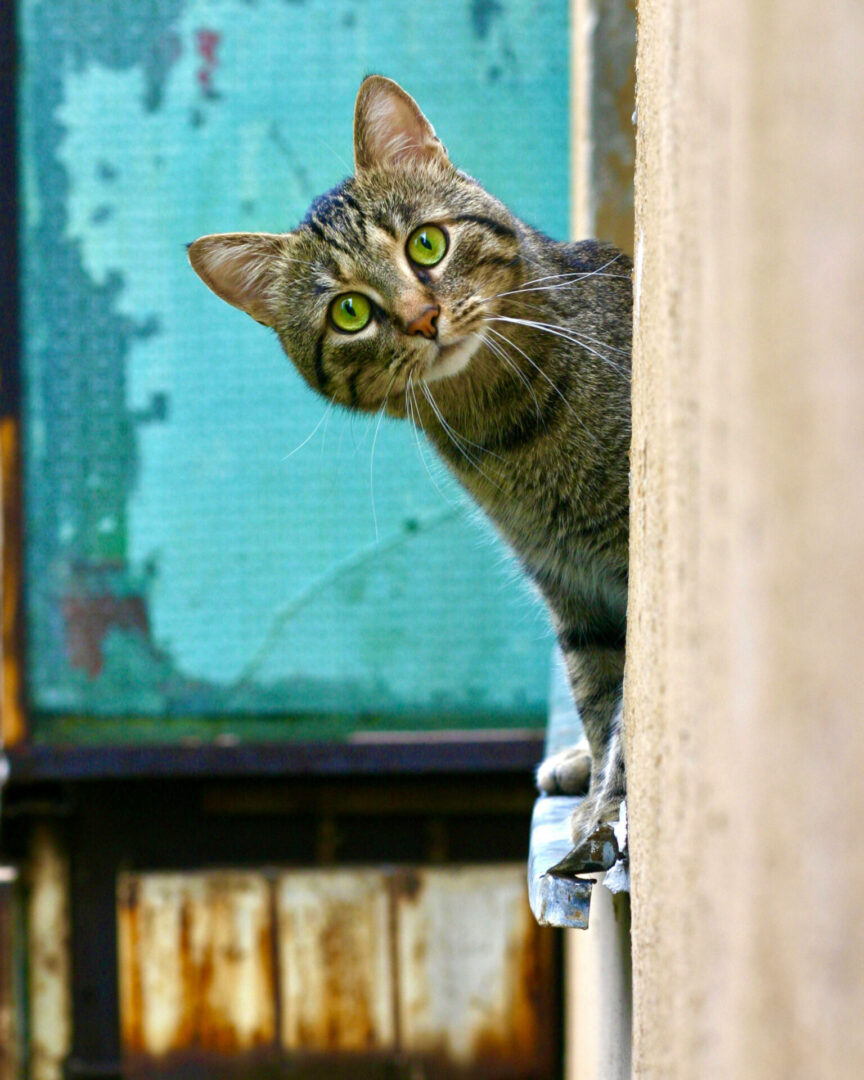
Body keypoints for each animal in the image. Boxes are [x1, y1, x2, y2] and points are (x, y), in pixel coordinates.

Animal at [189, 76, 630, 868]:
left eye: (427, 243)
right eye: (350, 312)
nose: (424, 318)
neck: (504, 429)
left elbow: (629, 719)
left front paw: (607, 814)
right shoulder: (573, 591)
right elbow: (600, 698)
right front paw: (597, 796)